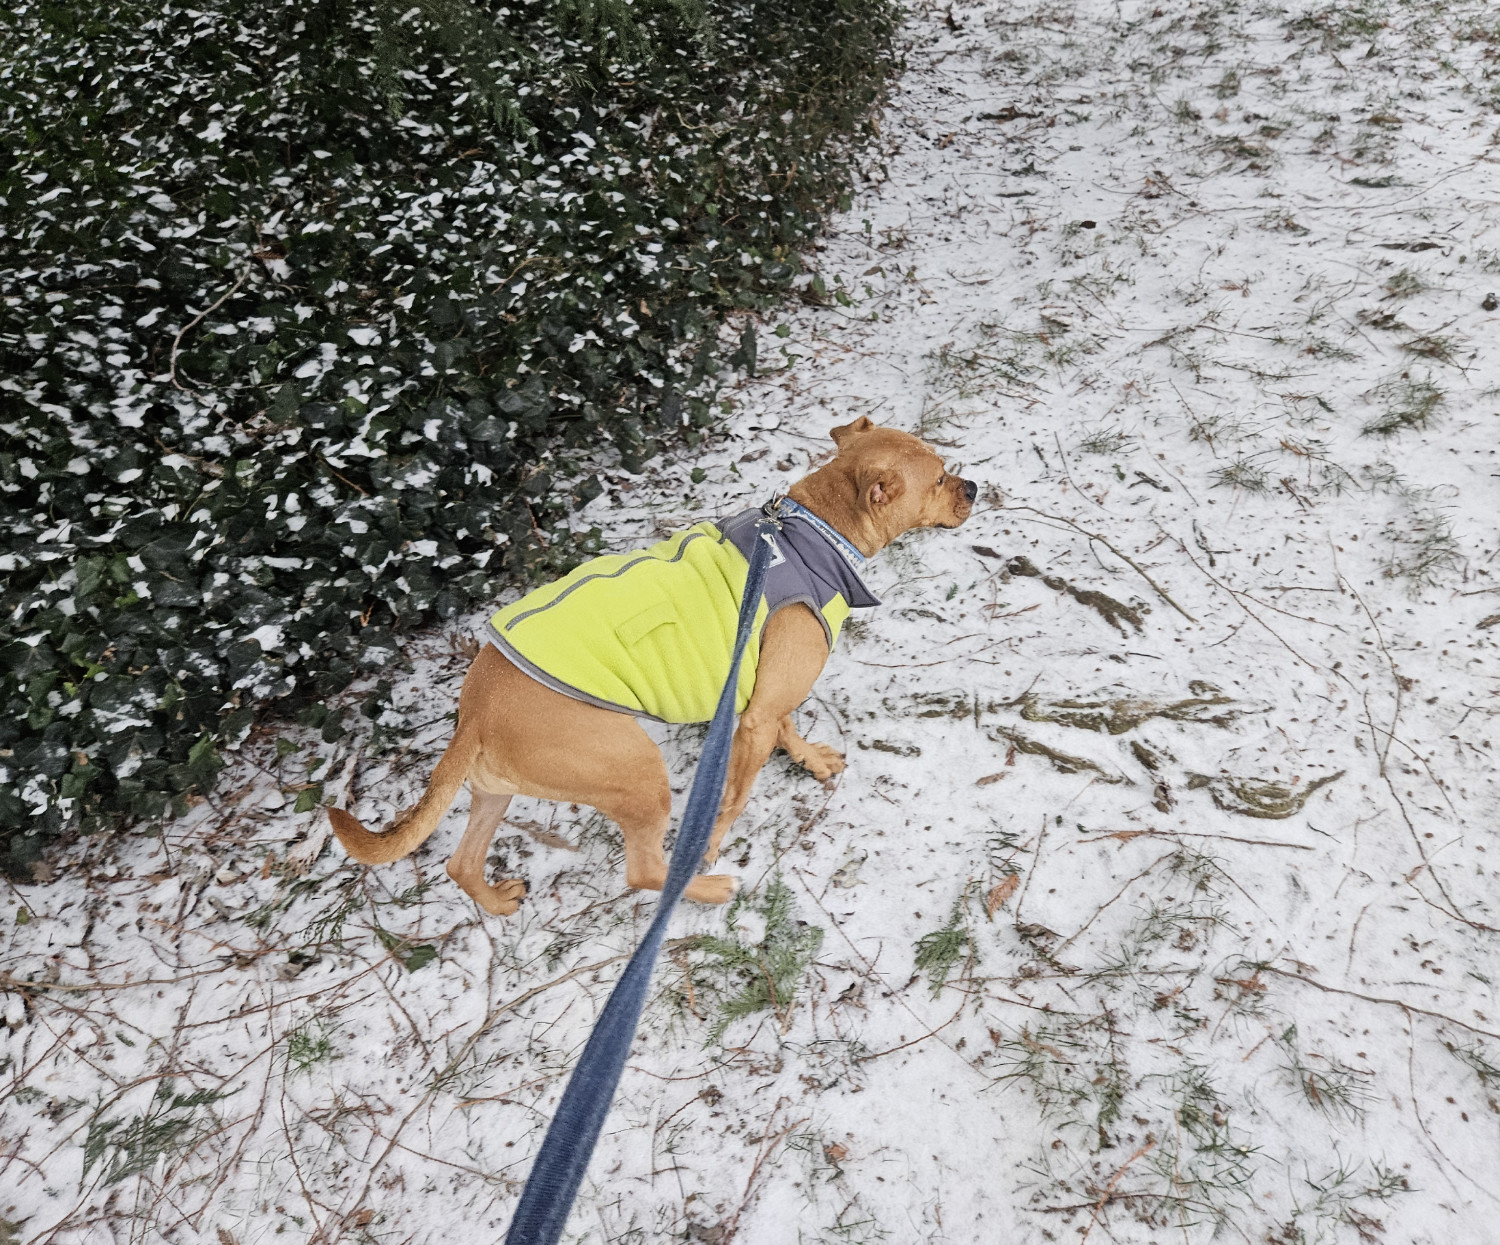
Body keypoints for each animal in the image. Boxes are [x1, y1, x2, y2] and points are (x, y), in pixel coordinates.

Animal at [331, 420, 972, 918]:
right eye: (940, 478)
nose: (973, 485)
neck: (810, 532)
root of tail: (474, 713)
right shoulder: (754, 718)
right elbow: (734, 797)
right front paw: (712, 846)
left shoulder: (763, 702)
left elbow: (789, 730)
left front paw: (811, 760)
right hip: (637, 771)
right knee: (641, 871)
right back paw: (706, 888)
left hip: (496, 790)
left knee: (460, 864)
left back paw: (495, 901)